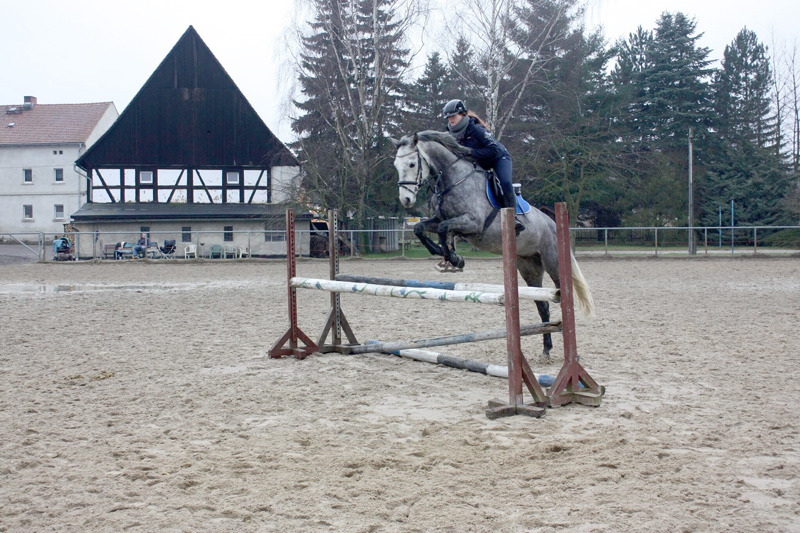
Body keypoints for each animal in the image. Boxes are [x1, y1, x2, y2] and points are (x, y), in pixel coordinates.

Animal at [390, 130, 592, 358]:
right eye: (396, 165)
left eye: (412, 164)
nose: (406, 200)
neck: (452, 180)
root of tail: (554, 223)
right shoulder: (440, 219)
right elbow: (421, 228)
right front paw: (448, 256)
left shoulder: (473, 222)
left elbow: (443, 229)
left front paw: (453, 258)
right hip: (528, 267)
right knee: (543, 305)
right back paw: (546, 348)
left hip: (553, 263)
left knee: (563, 295)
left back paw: (572, 351)